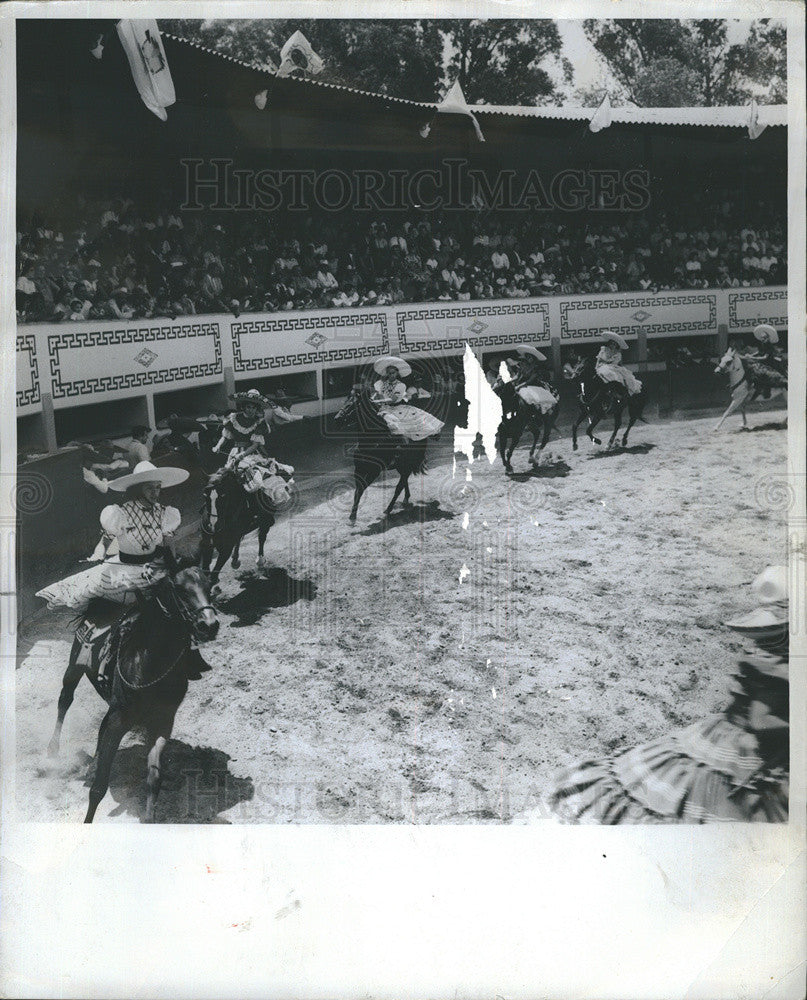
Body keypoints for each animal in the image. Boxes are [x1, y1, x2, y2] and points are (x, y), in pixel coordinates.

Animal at [47, 560, 218, 824]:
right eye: (179, 589)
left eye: (210, 586)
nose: (209, 624)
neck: (151, 661)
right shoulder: (120, 720)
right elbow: (98, 789)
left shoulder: (162, 722)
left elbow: (154, 780)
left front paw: (148, 818)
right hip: (74, 668)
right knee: (65, 701)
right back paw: (53, 750)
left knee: (100, 726)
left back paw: (91, 765)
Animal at [332, 386, 430, 520]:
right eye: (345, 401)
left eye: (353, 404)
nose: (337, 419)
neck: (372, 441)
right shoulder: (359, 469)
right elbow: (357, 491)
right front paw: (352, 515)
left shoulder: (374, 471)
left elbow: (361, 489)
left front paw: (352, 516)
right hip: (401, 466)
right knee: (404, 481)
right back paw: (405, 499)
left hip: (407, 465)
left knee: (399, 486)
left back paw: (388, 509)